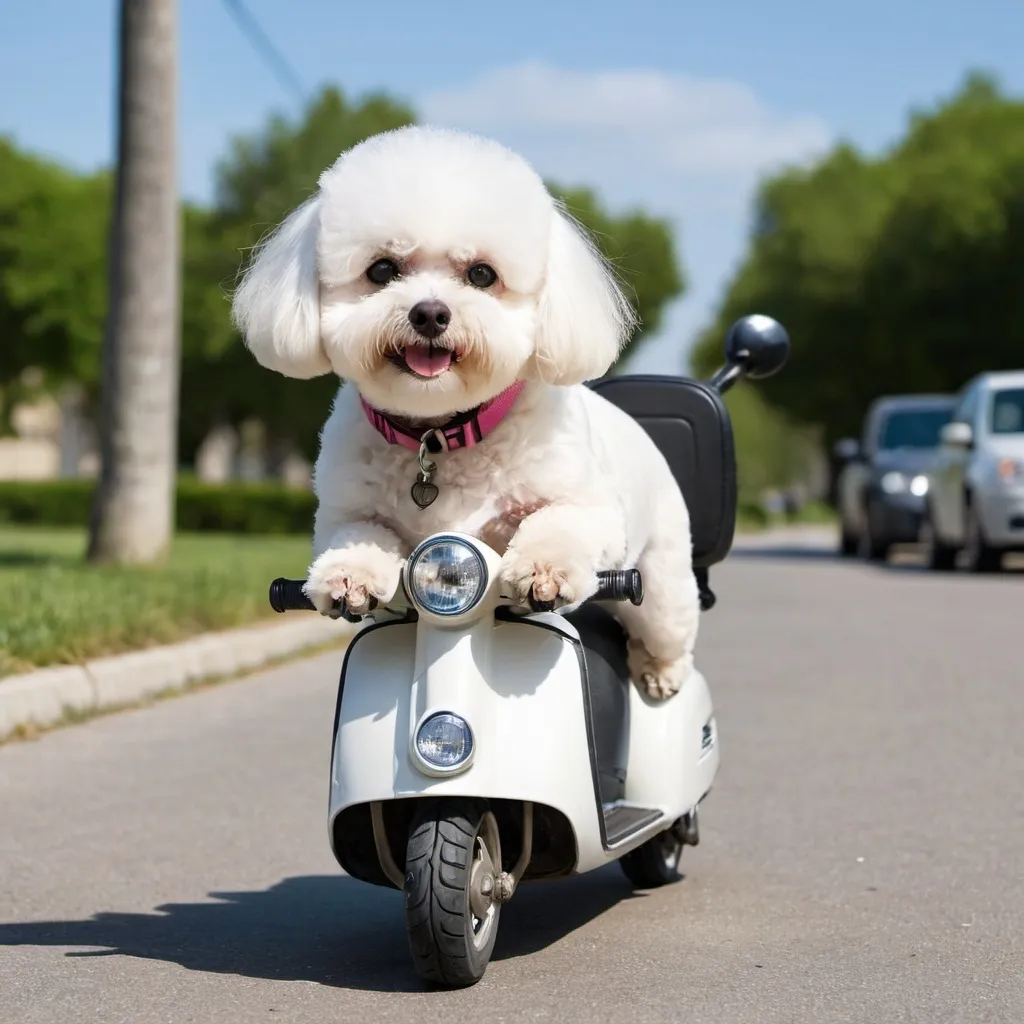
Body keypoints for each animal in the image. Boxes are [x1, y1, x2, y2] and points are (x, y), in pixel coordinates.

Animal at [232, 123, 700, 700]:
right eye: (382, 269)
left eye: (481, 274)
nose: (430, 313)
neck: (440, 436)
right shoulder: (349, 514)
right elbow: (358, 538)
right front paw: (349, 575)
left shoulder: (590, 511)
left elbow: (558, 524)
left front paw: (544, 569)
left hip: (660, 580)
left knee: (667, 625)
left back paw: (662, 670)